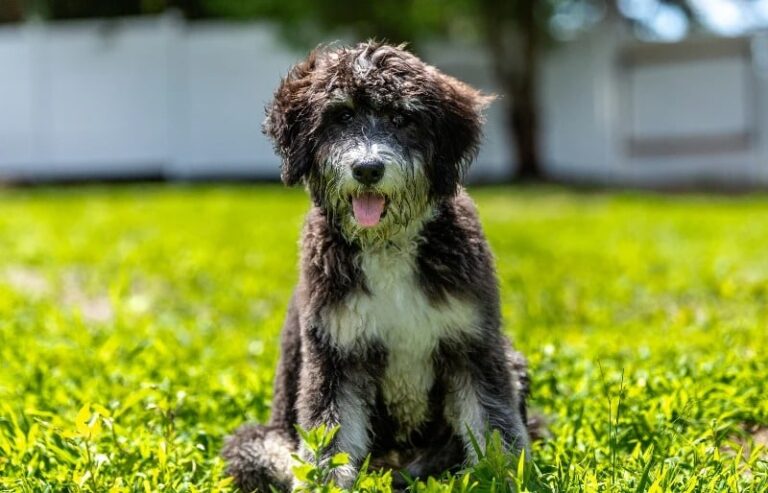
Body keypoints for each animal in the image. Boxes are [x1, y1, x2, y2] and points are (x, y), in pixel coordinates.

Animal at [225, 43, 532, 492]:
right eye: (342, 116)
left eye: (402, 119)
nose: (367, 169)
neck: (386, 246)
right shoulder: (335, 352)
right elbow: (329, 432)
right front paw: (326, 482)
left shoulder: (472, 343)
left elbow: (491, 420)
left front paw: (501, 475)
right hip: (254, 443)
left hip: (512, 361)